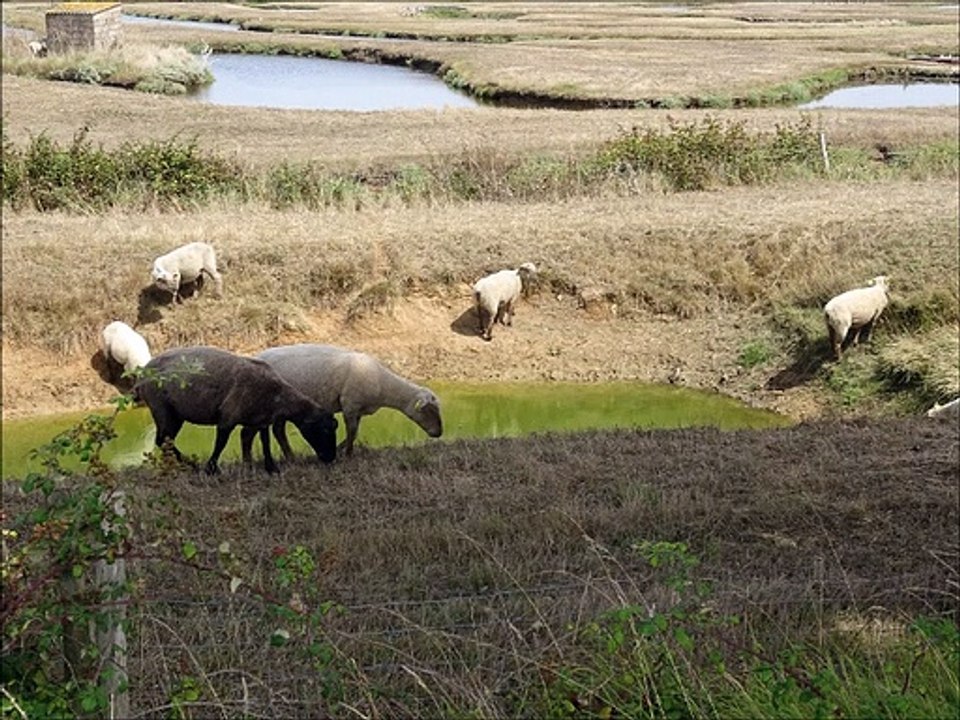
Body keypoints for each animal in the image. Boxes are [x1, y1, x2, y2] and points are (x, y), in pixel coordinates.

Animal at [133, 346, 337, 474]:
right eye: (324, 430)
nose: (331, 457)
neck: (277, 397)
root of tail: (143, 373)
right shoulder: (227, 417)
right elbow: (220, 444)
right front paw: (211, 469)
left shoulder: (261, 421)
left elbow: (265, 442)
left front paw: (271, 467)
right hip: (161, 407)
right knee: (162, 440)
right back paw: (192, 464)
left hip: (175, 414)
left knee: (166, 440)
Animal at [240, 343, 442, 460]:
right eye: (429, 410)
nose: (439, 433)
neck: (383, 385)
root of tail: (257, 357)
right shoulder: (350, 403)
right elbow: (352, 431)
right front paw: (348, 453)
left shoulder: (358, 408)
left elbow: (355, 431)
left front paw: (341, 448)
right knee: (275, 430)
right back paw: (287, 457)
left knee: (277, 430)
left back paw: (290, 457)